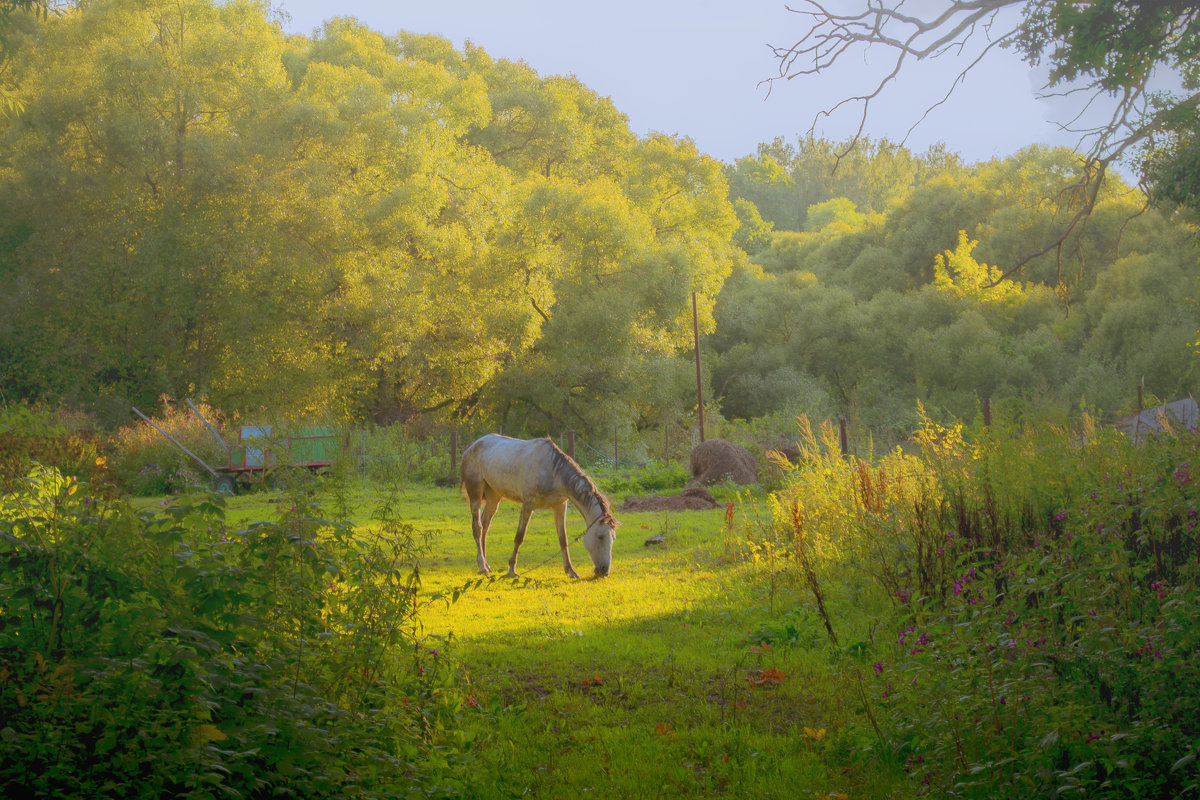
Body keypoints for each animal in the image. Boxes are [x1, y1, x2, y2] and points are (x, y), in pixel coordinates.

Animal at [458, 434, 619, 578]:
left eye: (613, 538)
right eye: (600, 536)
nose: (604, 571)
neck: (553, 472)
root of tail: (470, 448)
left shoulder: (560, 506)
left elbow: (563, 539)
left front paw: (571, 571)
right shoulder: (528, 505)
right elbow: (519, 537)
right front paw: (511, 570)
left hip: (494, 497)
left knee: (485, 526)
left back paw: (487, 565)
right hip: (475, 494)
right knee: (478, 528)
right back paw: (482, 567)